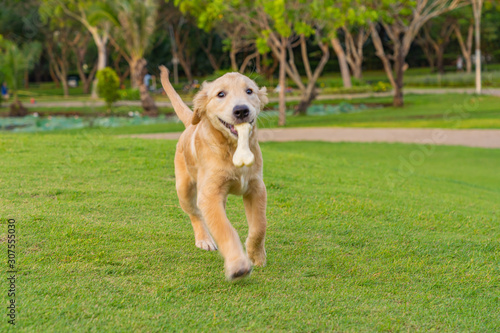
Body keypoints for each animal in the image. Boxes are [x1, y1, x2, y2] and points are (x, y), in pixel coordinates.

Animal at [160, 66, 270, 278]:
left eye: (249, 91)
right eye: (221, 94)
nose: (241, 110)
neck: (233, 148)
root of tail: (190, 124)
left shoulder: (256, 188)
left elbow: (259, 226)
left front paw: (256, 255)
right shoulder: (210, 194)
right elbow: (224, 228)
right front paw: (238, 264)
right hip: (184, 189)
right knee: (195, 214)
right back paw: (205, 239)